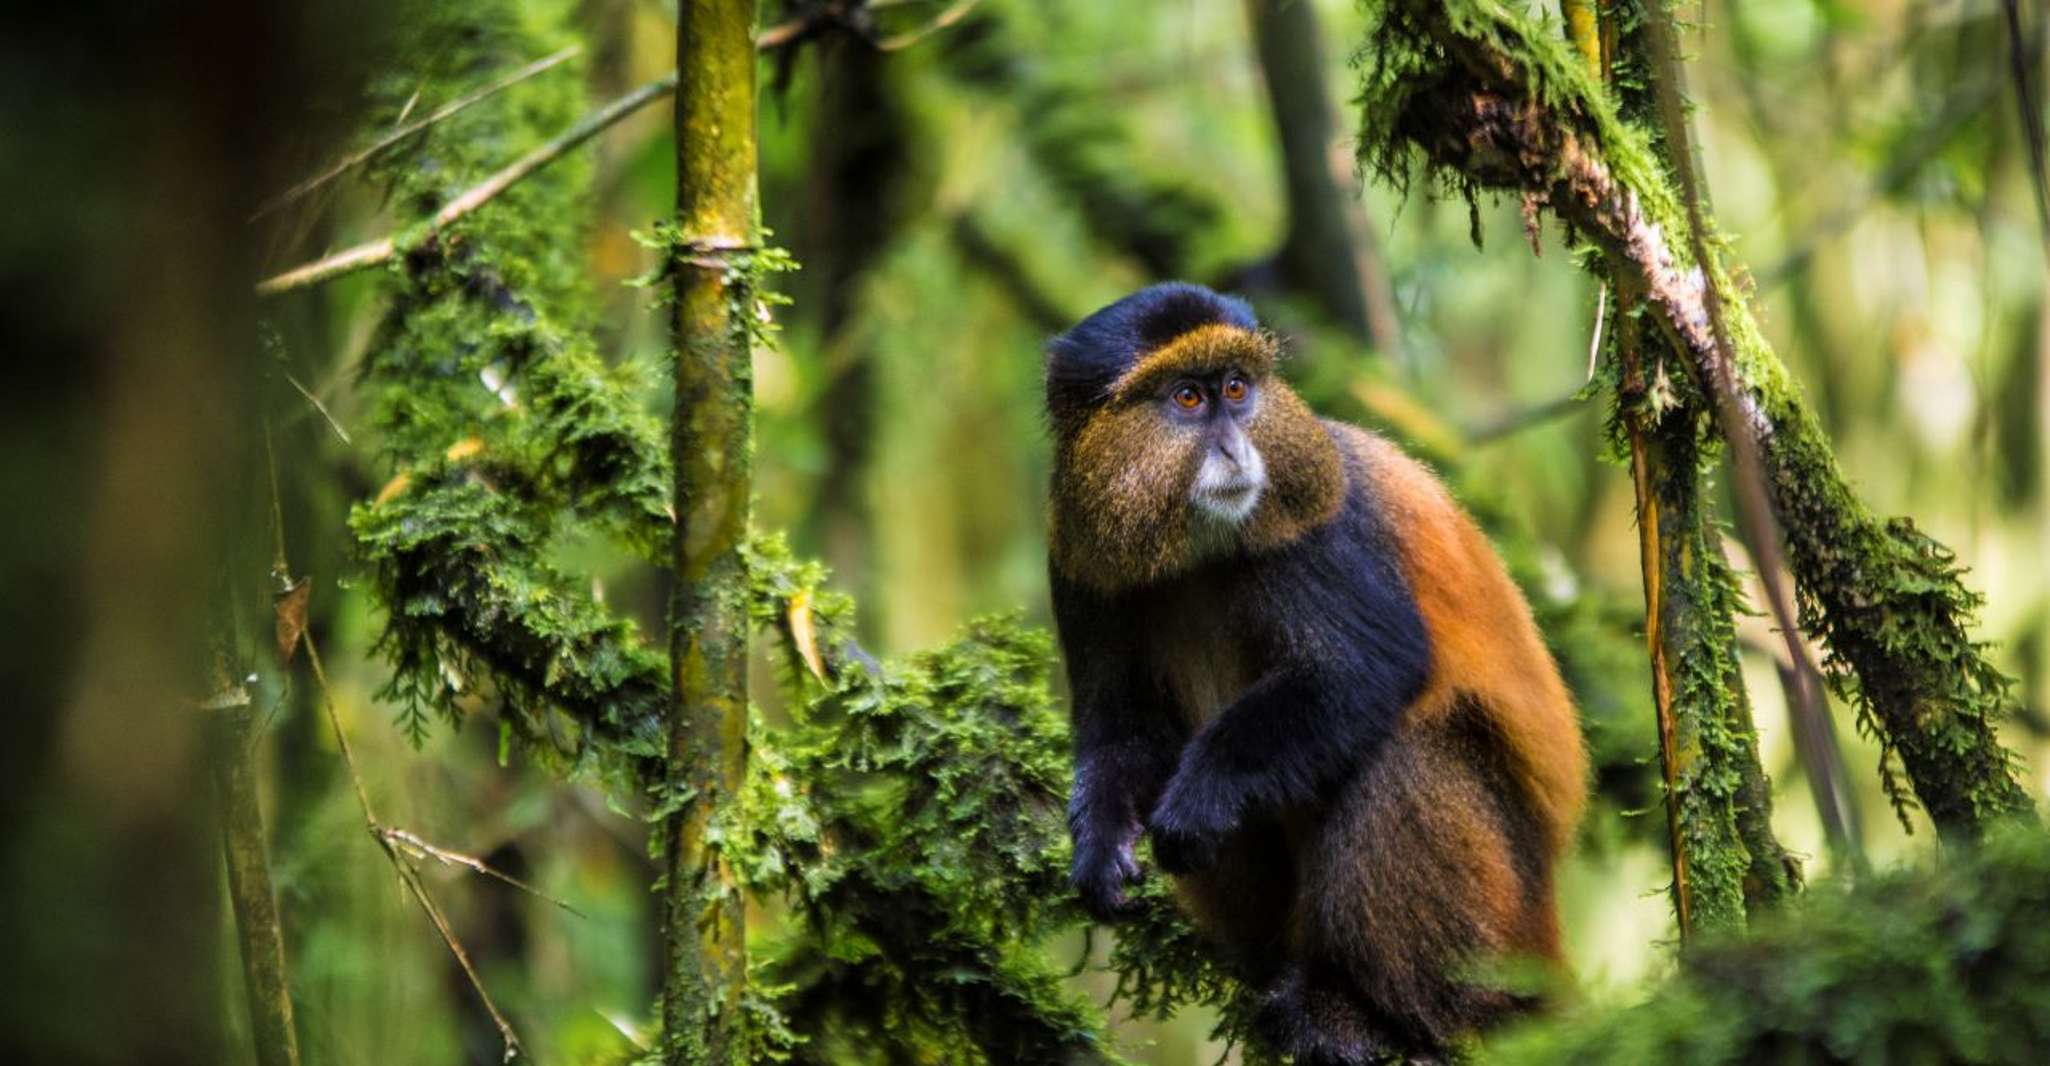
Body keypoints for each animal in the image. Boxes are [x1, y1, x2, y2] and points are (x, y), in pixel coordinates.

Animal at [1045, 283, 1588, 1064]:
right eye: (1187, 398)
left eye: (1236, 389)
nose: (1237, 447)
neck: (1199, 549)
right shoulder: (1079, 562)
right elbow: (1122, 728)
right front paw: (1099, 844)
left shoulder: (1317, 528)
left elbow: (1364, 669)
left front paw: (1199, 796)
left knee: (1402, 752)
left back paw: (1376, 1014)